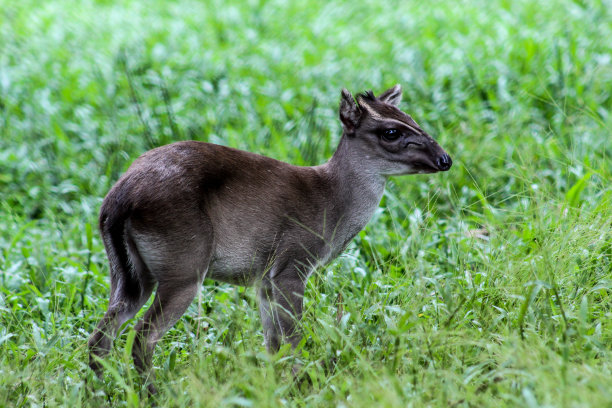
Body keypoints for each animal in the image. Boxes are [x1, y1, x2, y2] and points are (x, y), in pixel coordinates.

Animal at [88, 85, 452, 392]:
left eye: (413, 119)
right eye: (392, 131)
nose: (444, 159)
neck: (331, 204)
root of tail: (118, 200)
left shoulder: (264, 278)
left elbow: (272, 344)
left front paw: (276, 386)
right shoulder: (293, 262)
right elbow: (293, 339)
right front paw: (299, 387)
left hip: (129, 273)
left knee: (101, 336)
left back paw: (104, 391)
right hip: (183, 265)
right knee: (141, 338)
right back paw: (157, 393)